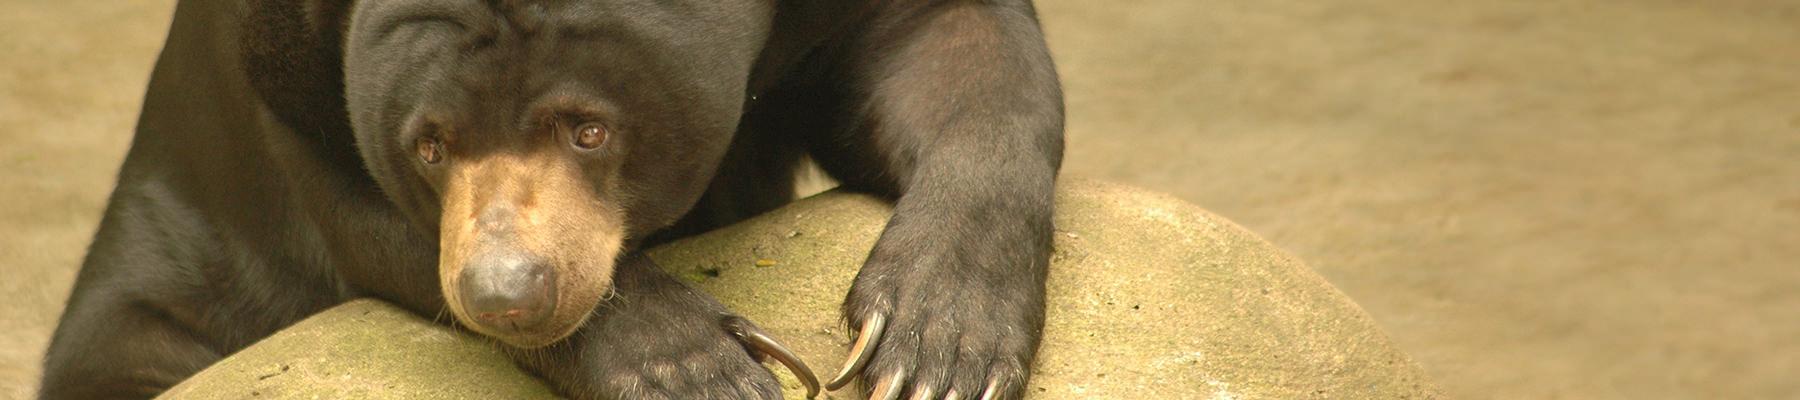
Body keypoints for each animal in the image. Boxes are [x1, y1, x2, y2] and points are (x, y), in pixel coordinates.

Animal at [40, 0, 1064, 399]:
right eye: (431, 144)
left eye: (589, 130)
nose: (506, 293)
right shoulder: (282, 72)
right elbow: (368, 213)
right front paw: (699, 367)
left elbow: (967, 61)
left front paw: (936, 349)